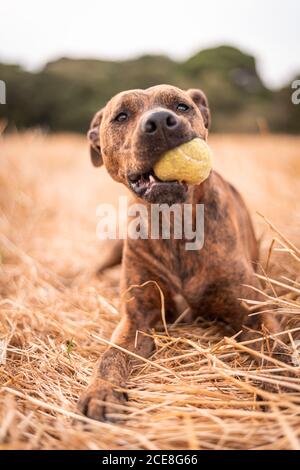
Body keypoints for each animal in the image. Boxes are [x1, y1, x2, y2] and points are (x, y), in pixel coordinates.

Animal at [78, 85, 282, 422]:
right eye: (121, 116)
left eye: (182, 106)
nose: (160, 121)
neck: (174, 221)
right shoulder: (137, 317)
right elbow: (111, 354)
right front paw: (101, 391)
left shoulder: (253, 313)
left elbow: (275, 350)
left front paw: (281, 386)